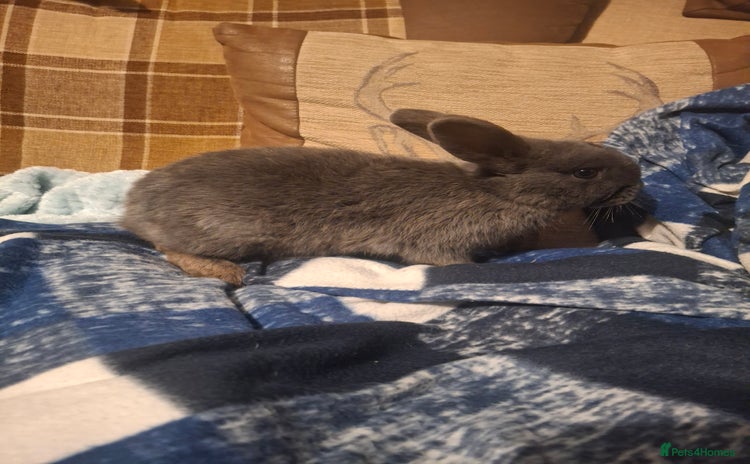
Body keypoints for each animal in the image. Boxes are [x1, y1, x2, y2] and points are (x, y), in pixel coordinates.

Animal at [121, 109, 642, 286]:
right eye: (585, 171)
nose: (639, 177)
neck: (496, 191)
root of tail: (134, 207)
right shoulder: (437, 242)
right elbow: (450, 260)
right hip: (224, 231)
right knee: (168, 248)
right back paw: (224, 272)